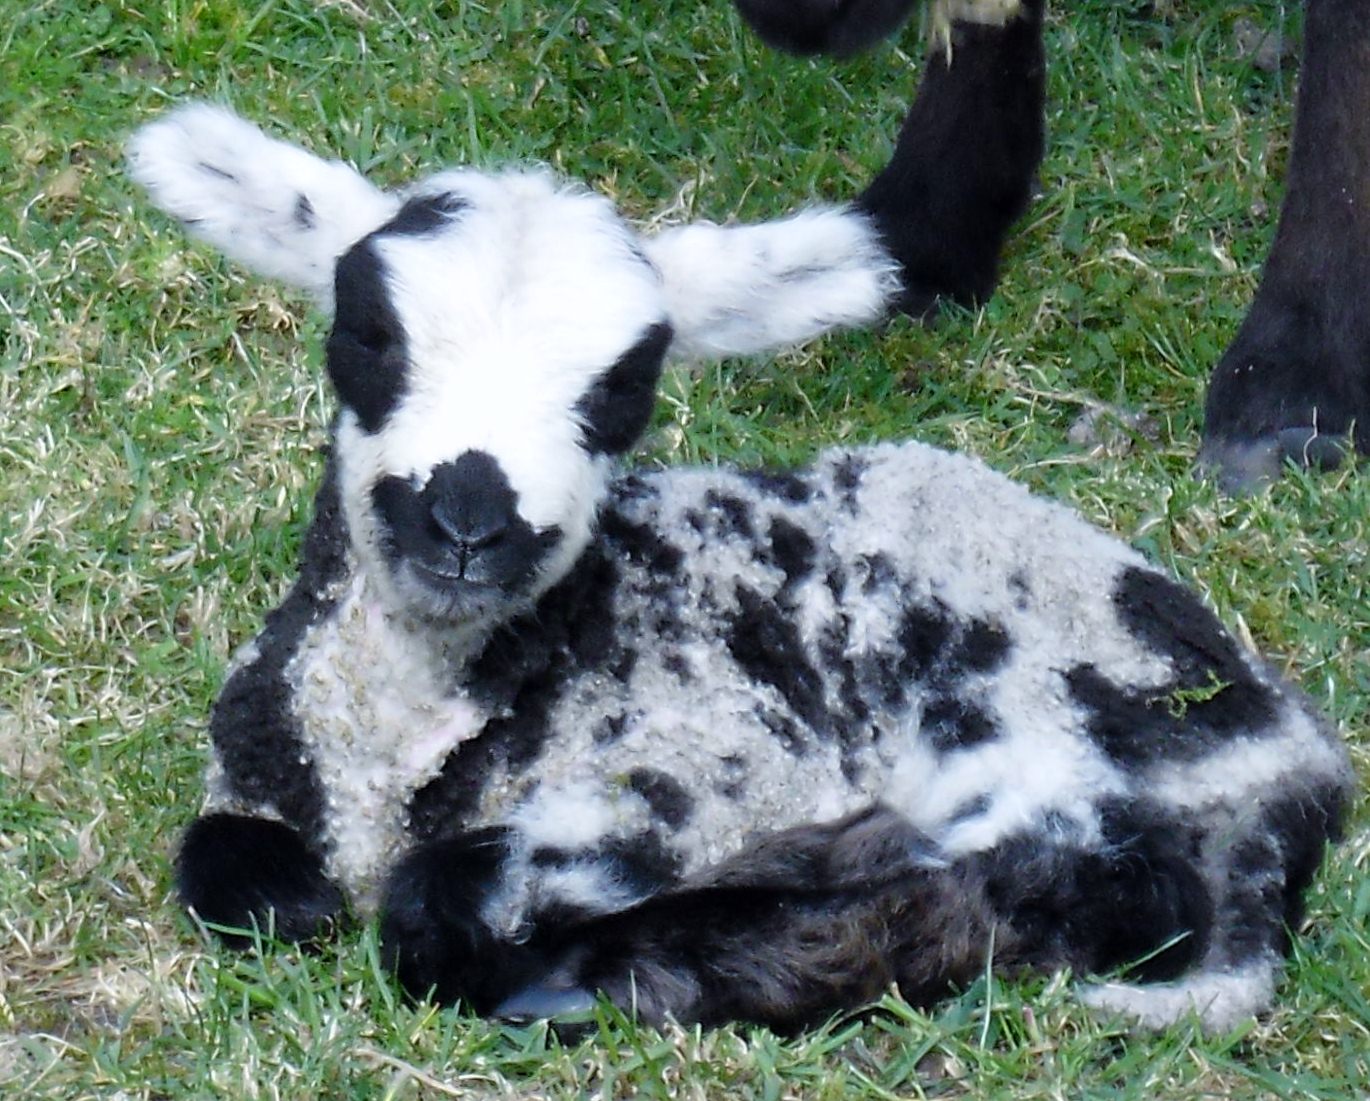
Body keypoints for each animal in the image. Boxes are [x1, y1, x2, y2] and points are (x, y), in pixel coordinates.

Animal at [128, 103, 1350, 1033]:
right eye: (368, 334)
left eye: (626, 385)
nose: (468, 517)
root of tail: (1297, 758)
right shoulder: (254, 755)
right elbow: (236, 878)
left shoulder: (714, 763)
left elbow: (438, 896)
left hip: (1049, 729)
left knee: (1034, 893)